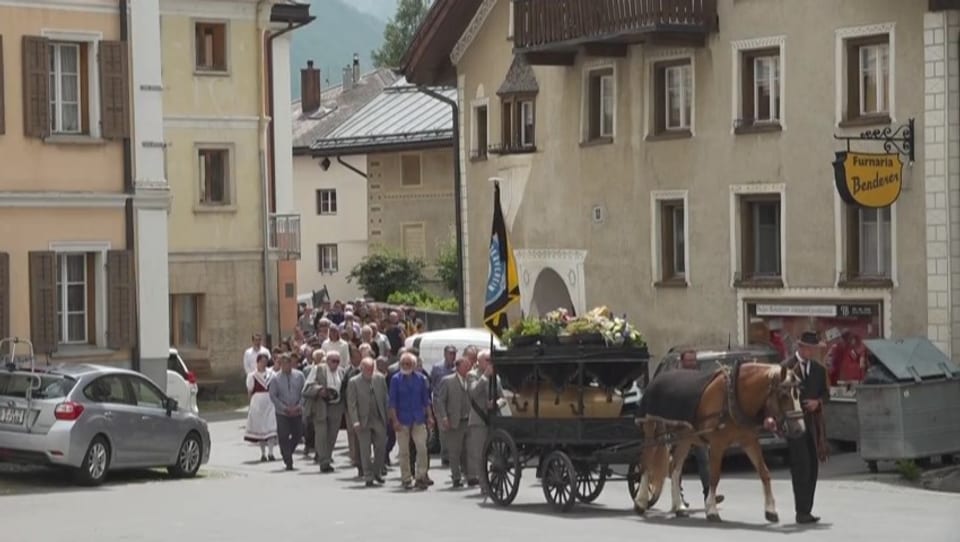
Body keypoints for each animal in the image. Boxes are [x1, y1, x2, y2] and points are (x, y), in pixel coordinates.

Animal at [632, 364, 808, 524]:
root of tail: (656, 378)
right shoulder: (717, 444)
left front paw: (770, 510)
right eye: (784, 395)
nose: (800, 429)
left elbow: (764, 472)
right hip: (651, 429)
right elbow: (714, 476)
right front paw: (712, 510)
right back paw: (641, 502)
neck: (733, 396)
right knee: (646, 462)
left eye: (799, 394)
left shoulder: (749, 441)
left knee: (674, 468)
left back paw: (679, 507)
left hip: (685, 436)